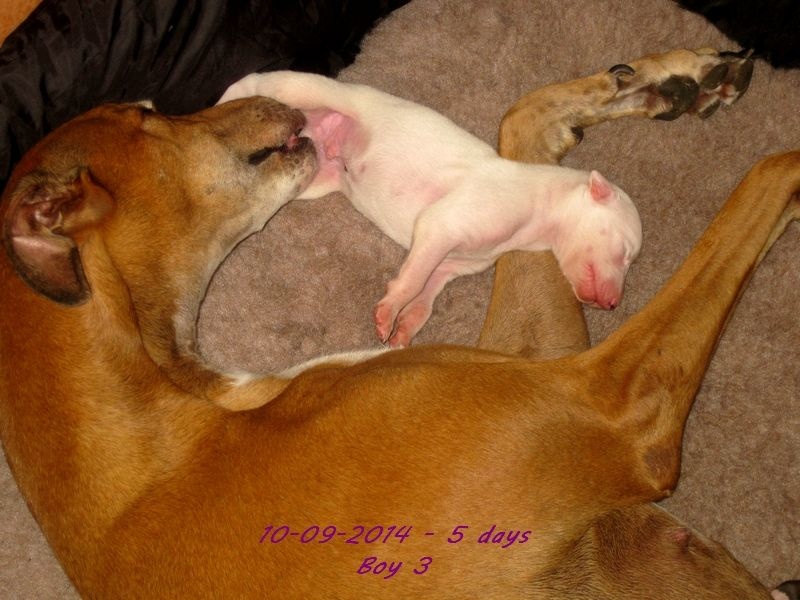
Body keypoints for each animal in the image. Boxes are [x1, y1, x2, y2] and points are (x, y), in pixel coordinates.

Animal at [219, 71, 642, 347]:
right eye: (625, 252)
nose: (613, 304)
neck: (536, 211)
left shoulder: (448, 263)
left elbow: (424, 296)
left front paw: (404, 328)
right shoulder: (440, 225)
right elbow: (410, 281)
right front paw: (388, 312)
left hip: (310, 178)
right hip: (308, 90)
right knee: (253, 83)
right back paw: (221, 112)